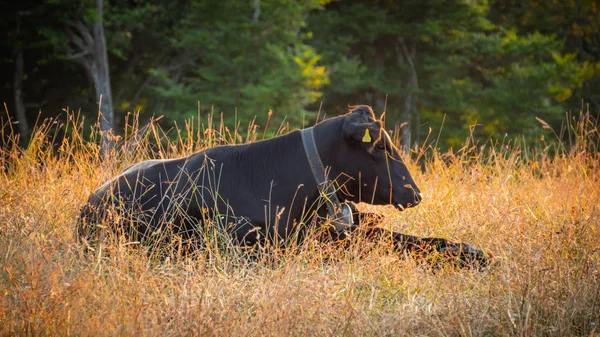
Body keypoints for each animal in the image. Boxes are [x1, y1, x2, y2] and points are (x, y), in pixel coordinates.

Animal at [77, 105, 488, 268]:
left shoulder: (347, 232)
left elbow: (414, 242)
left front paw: (472, 254)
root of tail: (90, 203)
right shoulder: (250, 246)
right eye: (381, 147)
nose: (414, 192)